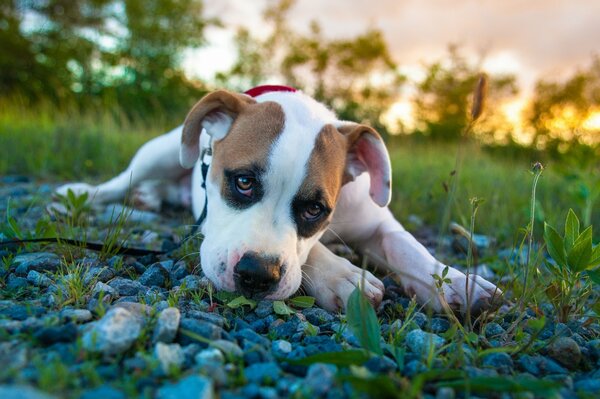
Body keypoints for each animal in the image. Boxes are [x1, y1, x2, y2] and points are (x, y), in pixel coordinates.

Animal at [56, 86, 500, 314]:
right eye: (243, 182)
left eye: (315, 209)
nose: (256, 275)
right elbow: (313, 251)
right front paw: (344, 275)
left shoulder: (376, 221)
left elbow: (405, 245)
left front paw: (456, 281)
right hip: (162, 151)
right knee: (125, 179)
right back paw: (80, 195)